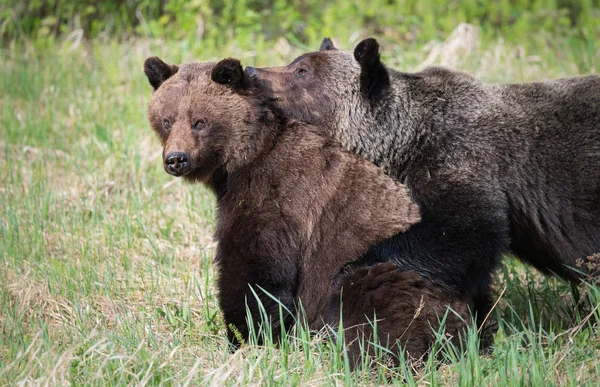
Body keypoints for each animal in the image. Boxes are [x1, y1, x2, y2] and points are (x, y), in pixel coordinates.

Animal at [143, 56, 472, 362]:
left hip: (394, 273)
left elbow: (255, 273)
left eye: (200, 121)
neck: (246, 159)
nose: (176, 159)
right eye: (167, 121)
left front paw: (246, 338)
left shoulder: (275, 199)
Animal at [245, 38, 600, 324]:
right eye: (295, 62)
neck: (405, 143)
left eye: (302, 70)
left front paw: (352, 268)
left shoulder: (462, 162)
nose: (251, 71)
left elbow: (460, 237)